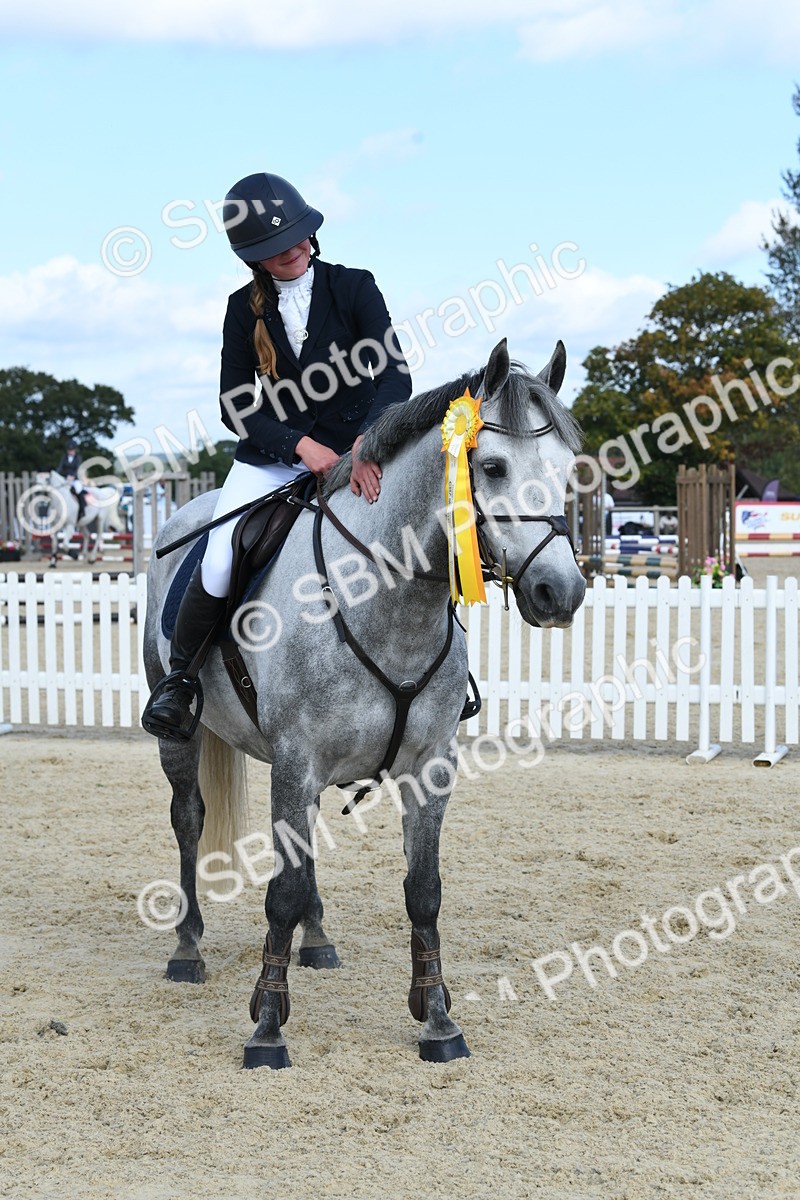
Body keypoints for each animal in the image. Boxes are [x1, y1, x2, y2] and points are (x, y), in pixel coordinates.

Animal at [142, 338, 585, 1069]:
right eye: (492, 466)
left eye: (568, 470)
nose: (562, 592)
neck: (388, 597)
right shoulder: (297, 760)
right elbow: (281, 891)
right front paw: (268, 1028)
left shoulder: (428, 766)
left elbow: (423, 892)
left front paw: (438, 1020)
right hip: (181, 736)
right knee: (188, 818)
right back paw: (186, 948)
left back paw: (317, 941)